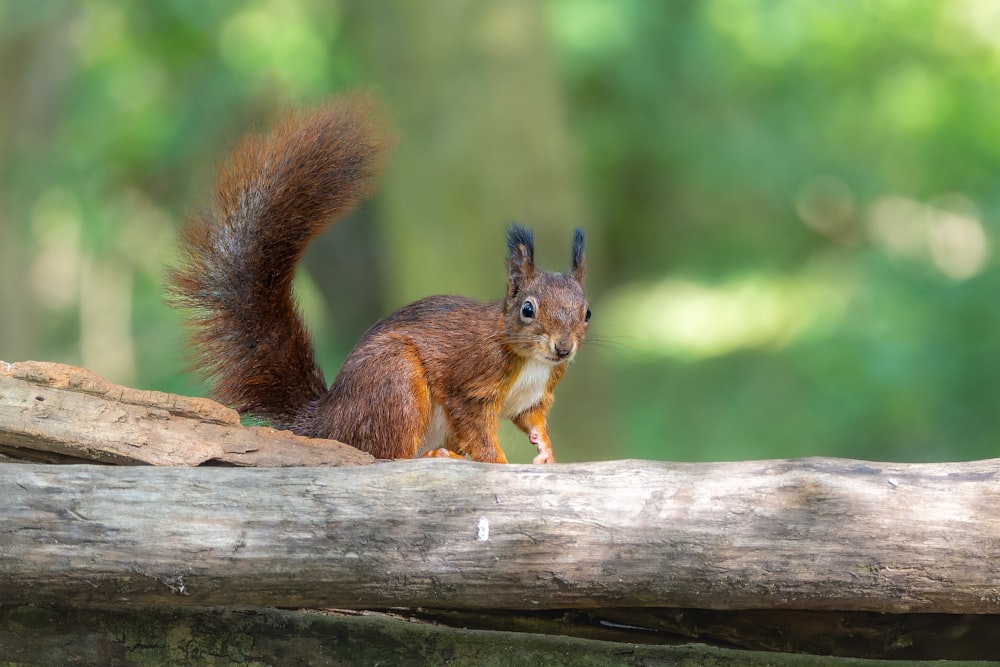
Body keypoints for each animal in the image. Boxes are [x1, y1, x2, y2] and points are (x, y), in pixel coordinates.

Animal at [163, 95, 584, 464]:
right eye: (527, 309)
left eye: (587, 313)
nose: (563, 349)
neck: (531, 360)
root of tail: (326, 421)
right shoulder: (472, 383)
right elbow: (477, 430)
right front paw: (498, 463)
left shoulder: (535, 397)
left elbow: (532, 420)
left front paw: (546, 451)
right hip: (395, 380)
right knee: (386, 453)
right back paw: (432, 455)